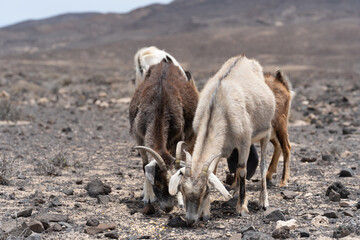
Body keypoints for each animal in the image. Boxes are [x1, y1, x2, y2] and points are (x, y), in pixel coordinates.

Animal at [129, 56, 198, 214]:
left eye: (176, 184)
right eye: (158, 183)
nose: (168, 208)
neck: (159, 107)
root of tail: (166, 62)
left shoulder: (176, 138)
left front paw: (180, 200)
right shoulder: (139, 137)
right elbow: (144, 165)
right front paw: (148, 197)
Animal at [169, 54, 276, 225]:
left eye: (204, 190)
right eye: (182, 190)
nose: (191, 220)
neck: (219, 105)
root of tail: (243, 58)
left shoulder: (244, 142)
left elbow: (242, 170)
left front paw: (242, 208)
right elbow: (214, 171)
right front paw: (205, 212)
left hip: (266, 132)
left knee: (263, 164)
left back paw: (263, 201)